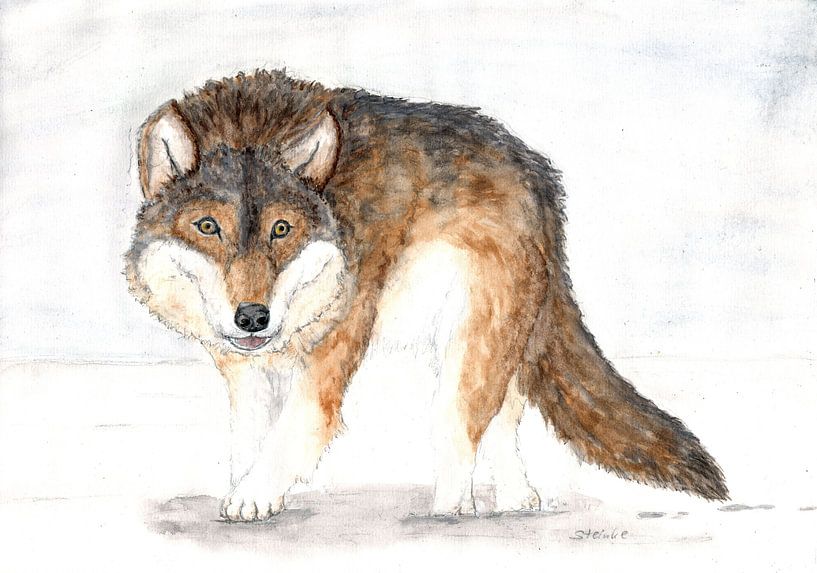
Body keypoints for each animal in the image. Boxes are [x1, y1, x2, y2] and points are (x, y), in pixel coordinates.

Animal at [126, 70, 727, 521]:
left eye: (280, 230)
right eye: (208, 227)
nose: (252, 317)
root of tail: (538, 174)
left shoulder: (330, 358)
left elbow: (295, 429)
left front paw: (253, 496)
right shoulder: (244, 367)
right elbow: (252, 436)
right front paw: (254, 491)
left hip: (474, 335)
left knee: (461, 421)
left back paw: (450, 509)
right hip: (492, 339)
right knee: (501, 416)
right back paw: (516, 499)